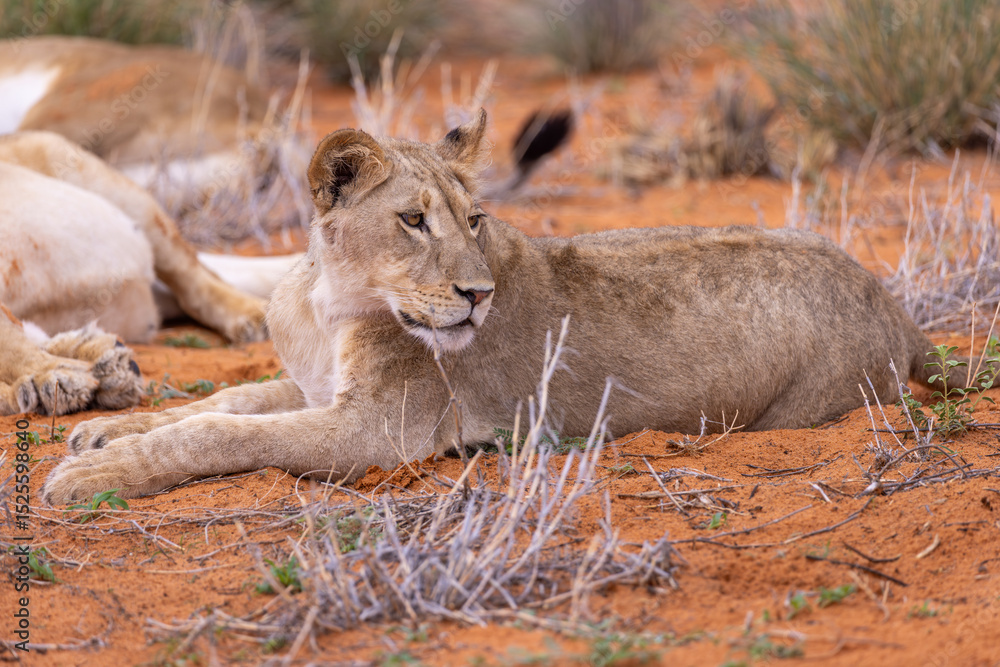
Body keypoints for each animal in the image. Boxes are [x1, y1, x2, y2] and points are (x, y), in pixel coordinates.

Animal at [41, 110, 965, 504]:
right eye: (414, 220)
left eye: (474, 218)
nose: (478, 295)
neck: (331, 299)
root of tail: (898, 307)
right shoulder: (311, 388)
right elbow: (226, 399)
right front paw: (105, 429)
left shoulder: (375, 432)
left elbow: (218, 433)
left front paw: (93, 473)